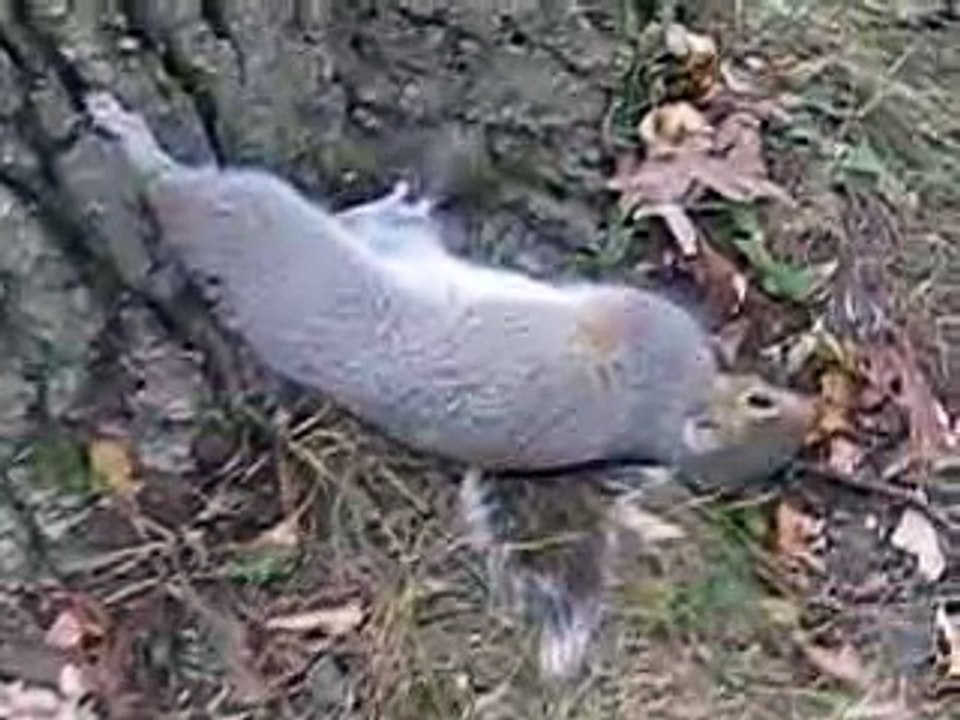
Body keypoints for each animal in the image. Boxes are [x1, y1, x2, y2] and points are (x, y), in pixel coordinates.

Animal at [84, 91, 817, 680]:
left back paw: (128, 134)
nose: (810, 411)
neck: (668, 416)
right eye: (764, 401)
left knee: (177, 189)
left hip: (252, 216)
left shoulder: (642, 331)